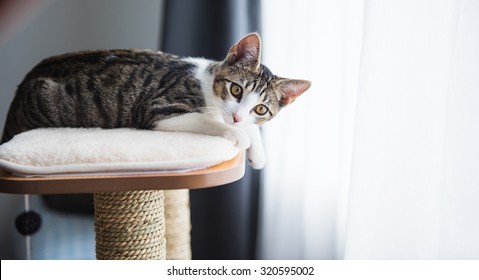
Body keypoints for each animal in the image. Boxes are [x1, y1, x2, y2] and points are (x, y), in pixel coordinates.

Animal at [0, 32, 312, 168]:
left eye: (260, 108)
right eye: (236, 90)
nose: (236, 116)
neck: (207, 84)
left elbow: (250, 127)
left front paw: (257, 152)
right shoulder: (160, 109)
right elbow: (209, 121)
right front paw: (239, 135)